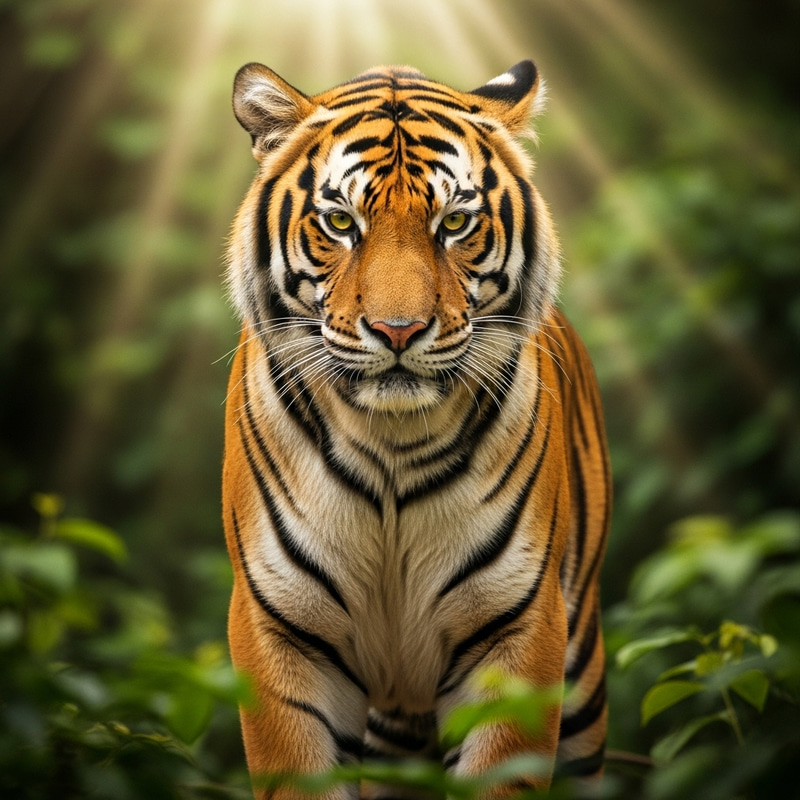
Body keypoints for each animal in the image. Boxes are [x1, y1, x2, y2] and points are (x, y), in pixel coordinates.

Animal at [222, 59, 610, 800]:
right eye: (339, 221)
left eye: (454, 221)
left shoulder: (520, 633)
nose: (397, 331)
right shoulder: (279, 631)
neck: (391, 444)